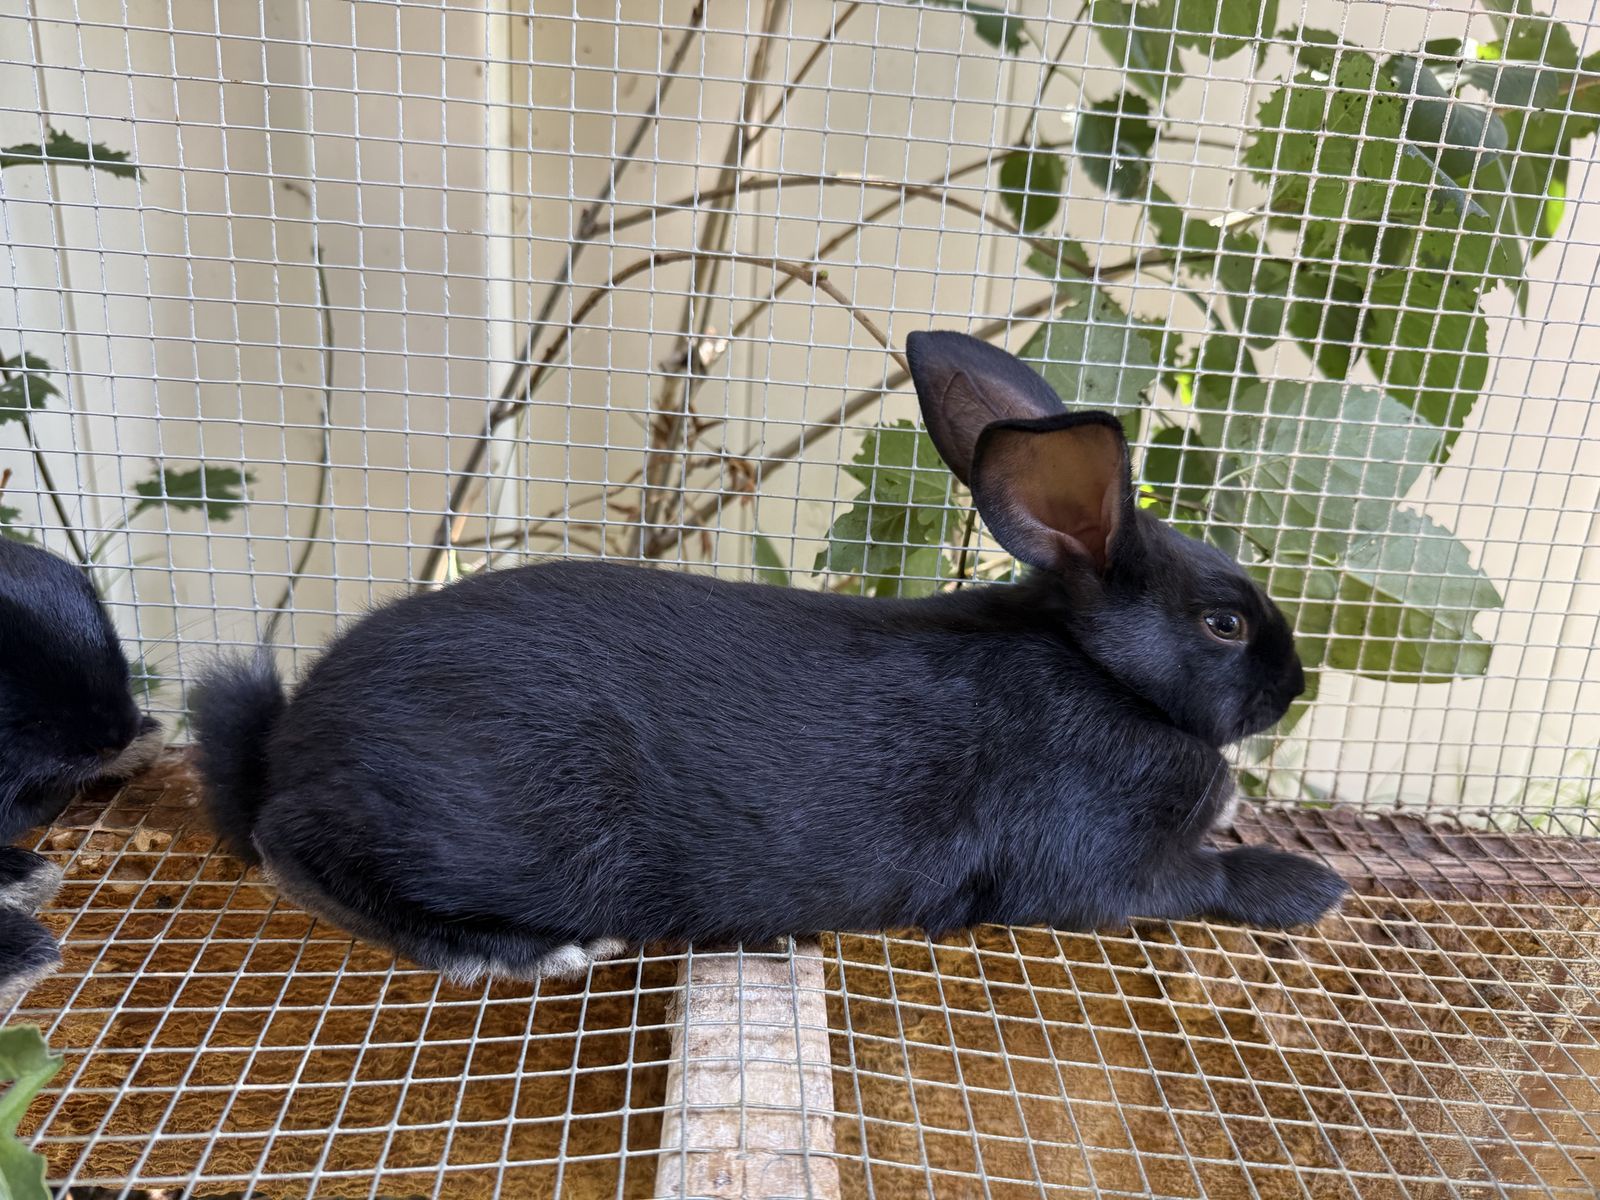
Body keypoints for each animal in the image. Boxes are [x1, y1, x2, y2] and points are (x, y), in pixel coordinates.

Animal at [189, 330, 1347, 987]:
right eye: (1225, 626)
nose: (1295, 689)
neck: (1100, 673)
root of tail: (291, 739)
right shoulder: (1091, 860)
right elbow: (1195, 879)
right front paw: (1307, 885)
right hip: (503, 828)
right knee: (294, 850)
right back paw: (514, 952)